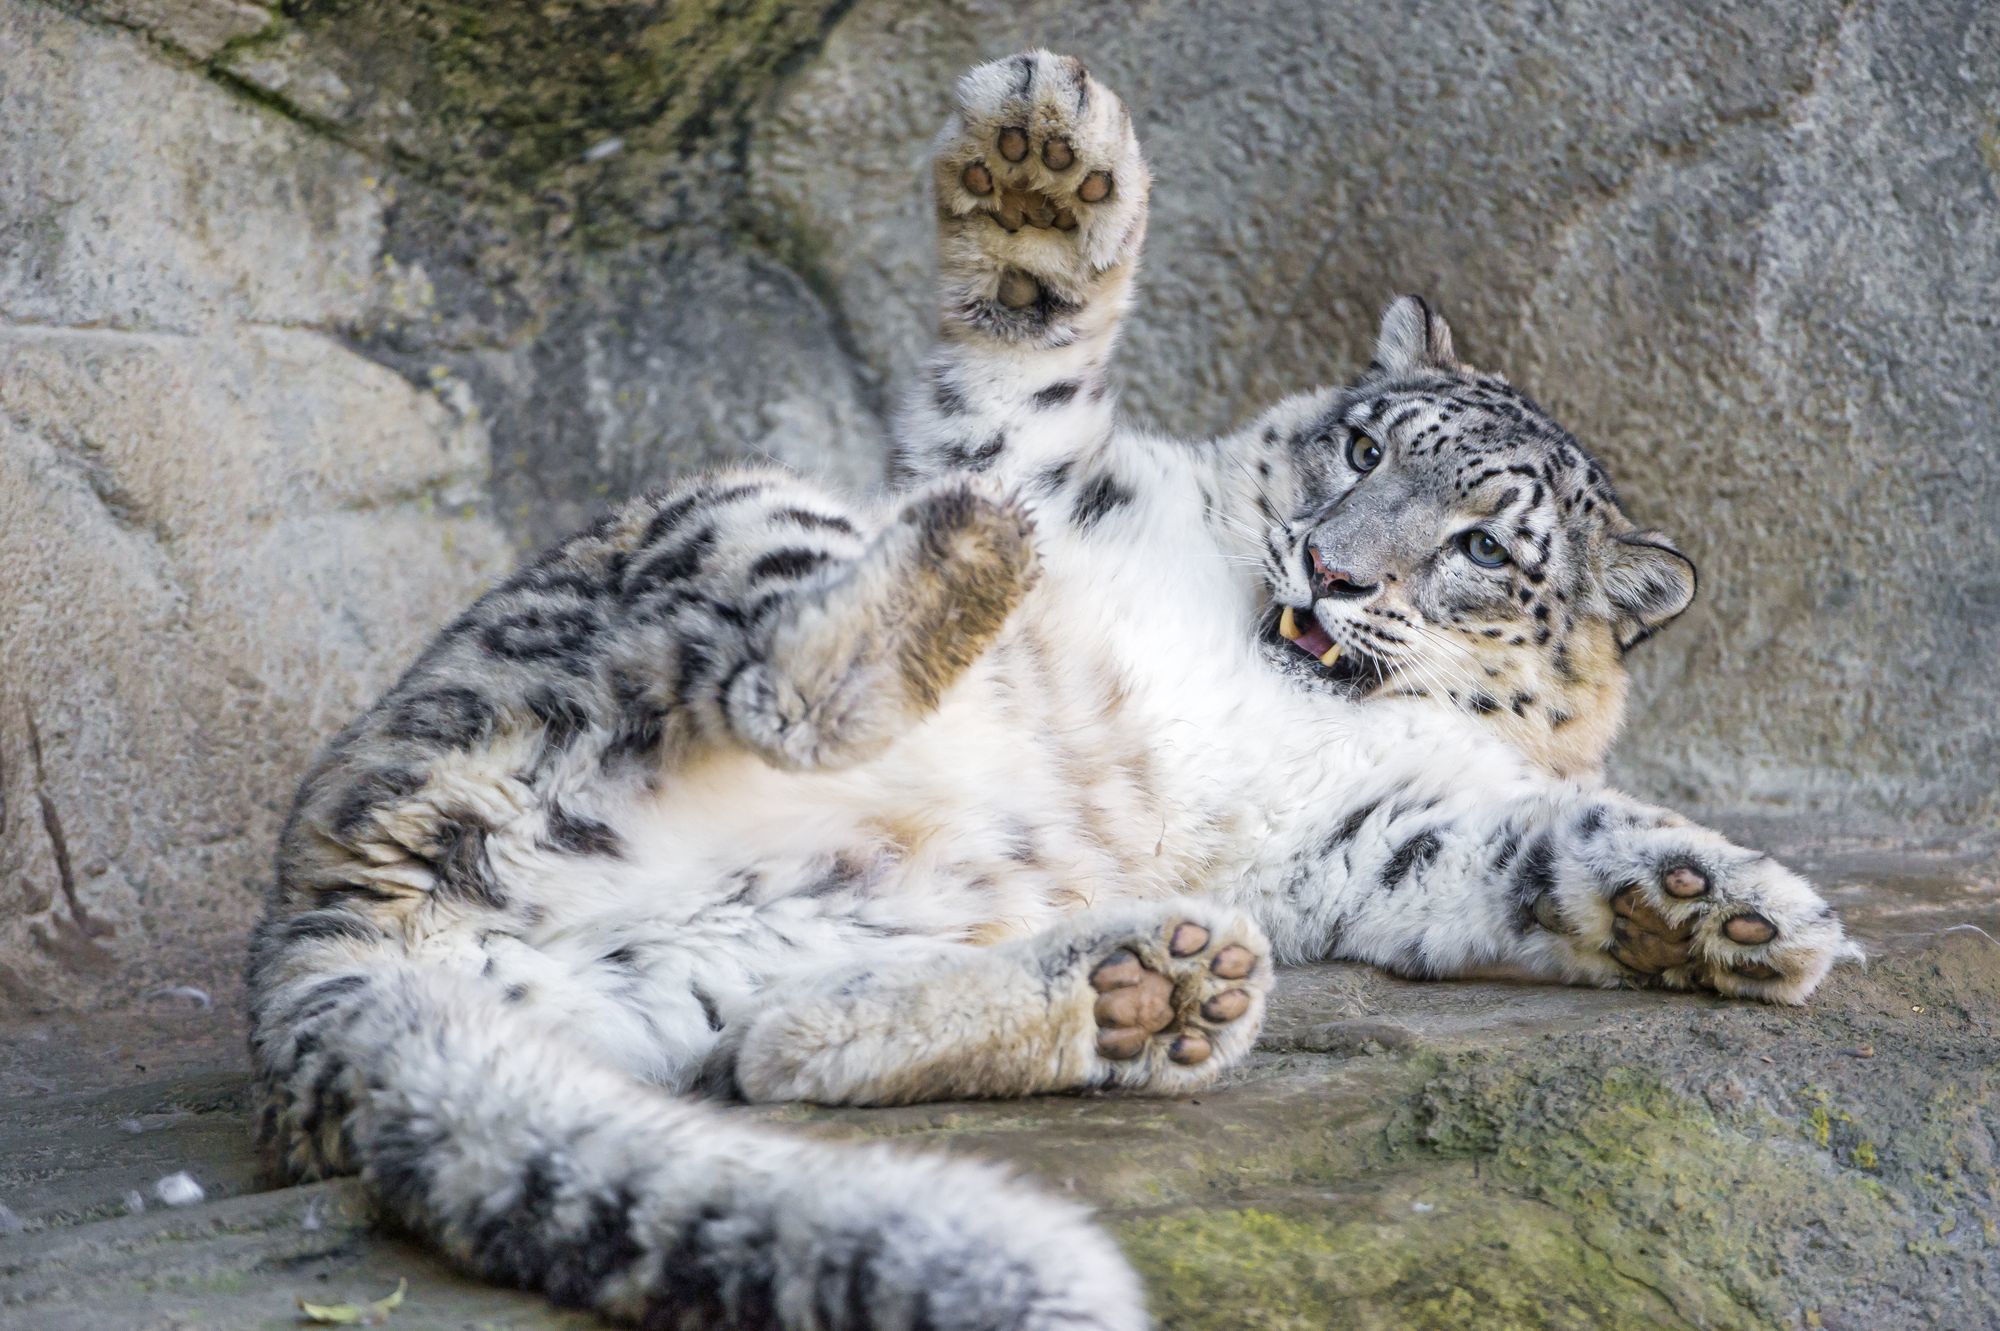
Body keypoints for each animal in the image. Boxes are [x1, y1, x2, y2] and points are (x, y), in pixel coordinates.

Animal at [246, 46, 1856, 1327]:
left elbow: (1530, 850)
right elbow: (1025, 344)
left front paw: (1717, 911)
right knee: (786, 668)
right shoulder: (1030, 468)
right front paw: (1040, 163)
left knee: (768, 1049)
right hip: (720, 528)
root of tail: (325, 933)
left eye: (1476, 545)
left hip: (728, 961)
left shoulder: (1371, 824)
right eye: (1363, 447)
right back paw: (966, 596)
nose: (1334, 569)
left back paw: (1148, 988)